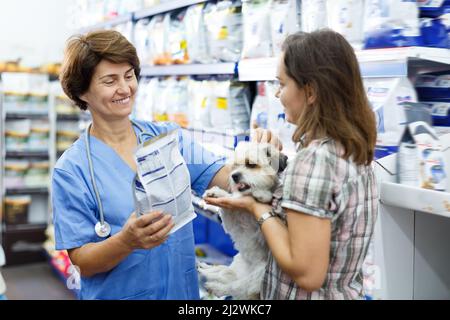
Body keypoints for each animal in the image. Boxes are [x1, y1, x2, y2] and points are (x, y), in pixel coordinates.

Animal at [199, 142, 286, 300]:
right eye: (235, 166)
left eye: (251, 165)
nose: (234, 176)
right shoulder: (230, 222)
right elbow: (228, 204)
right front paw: (217, 193)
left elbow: (266, 197)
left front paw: (261, 194)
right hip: (238, 263)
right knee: (224, 273)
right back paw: (207, 269)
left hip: (259, 276)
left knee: (236, 287)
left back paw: (216, 287)